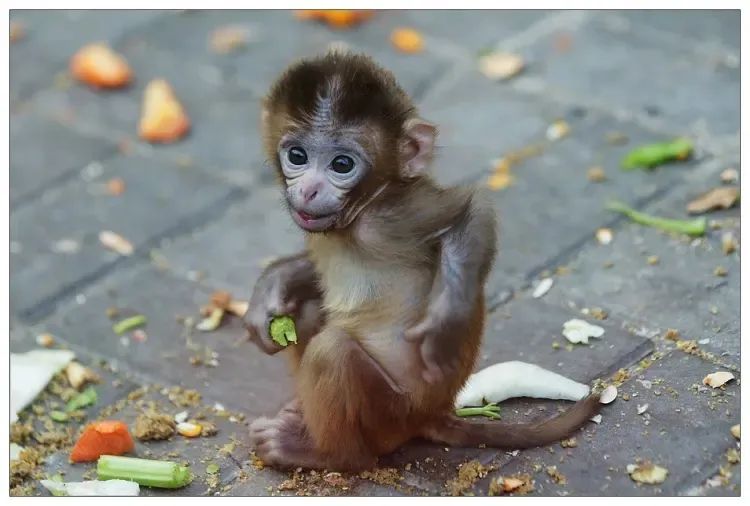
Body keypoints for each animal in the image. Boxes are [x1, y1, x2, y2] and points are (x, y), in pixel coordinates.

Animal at [250, 51, 604, 470]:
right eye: (297, 156)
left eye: (342, 165)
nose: (308, 189)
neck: (358, 214)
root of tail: (432, 413)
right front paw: (273, 285)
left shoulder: (395, 216)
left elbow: (471, 210)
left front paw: (445, 322)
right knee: (306, 312)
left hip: (390, 415)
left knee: (332, 352)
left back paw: (326, 454)